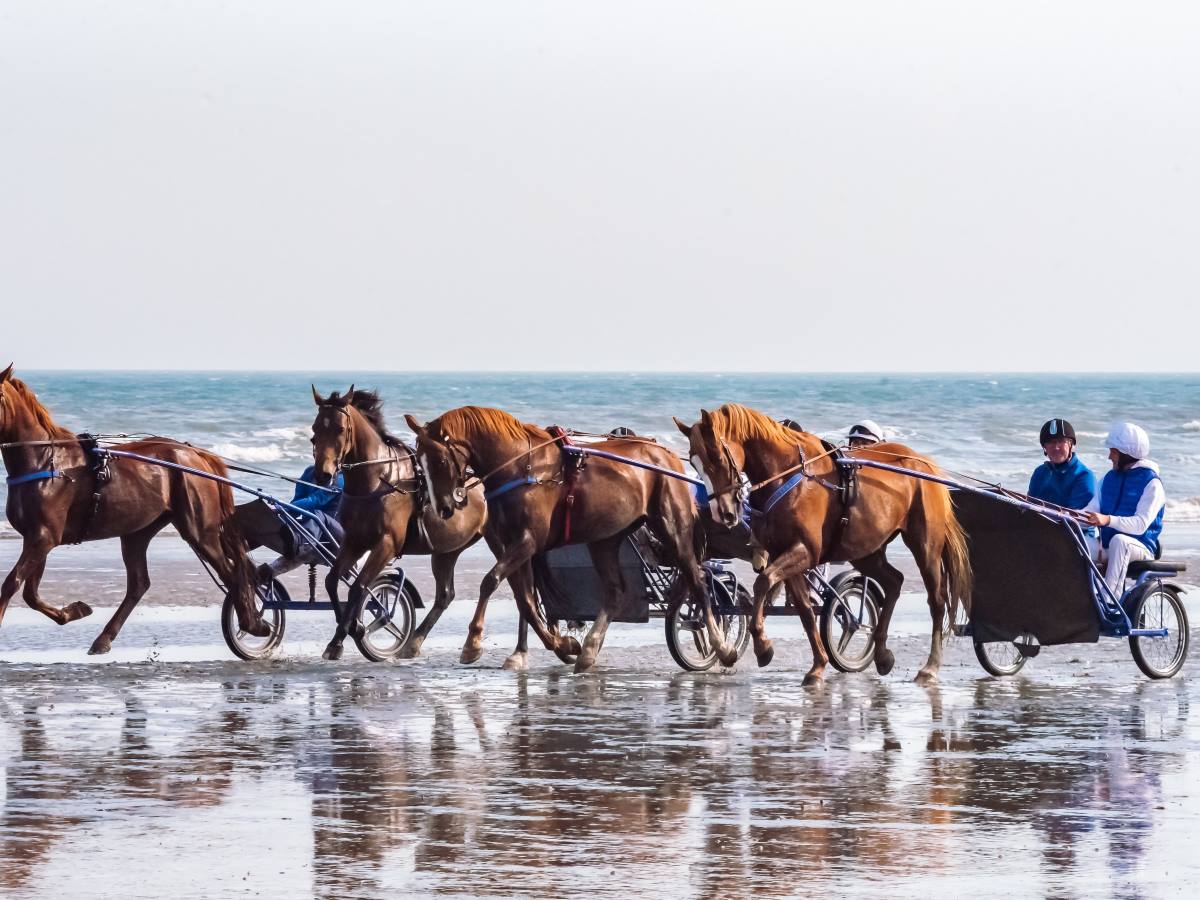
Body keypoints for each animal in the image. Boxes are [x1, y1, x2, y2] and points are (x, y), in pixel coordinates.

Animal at [0, 364, 265, 648]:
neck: (45, 461)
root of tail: (197, 455)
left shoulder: (44, 537)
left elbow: (12, 583)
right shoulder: (37, 536)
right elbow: (30, 593)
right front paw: (74, 611)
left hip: (200, 530)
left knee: (233, 572)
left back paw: (253, 623)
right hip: (137, 532)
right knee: (139, 584)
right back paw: (104, 638)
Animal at [314, 388, 492, 662]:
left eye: (340, 429)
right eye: (314, 428)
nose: (322, 474)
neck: (379, 480)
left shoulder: (386, 544)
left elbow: (359, 586)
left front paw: (346, 635)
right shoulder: (354, 541)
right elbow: (332, 581)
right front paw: (351, 629)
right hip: (446, 551)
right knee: (445, 595)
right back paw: (414, 642)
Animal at [405, 405, 729, 672]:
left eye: (440, 460)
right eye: (418, 460)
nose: (443, 508)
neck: (521, 467)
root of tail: (668, 455)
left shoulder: (527, 541)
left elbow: (491, 581)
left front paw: (472, 643)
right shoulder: (513, 545)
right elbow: (526, 602)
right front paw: (562, 646)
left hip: (672, 527)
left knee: (697, 580)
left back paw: (721, 646)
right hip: (606, 538)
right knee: (615, 591)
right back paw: (589, 649)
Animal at [676, 408, 964, 681]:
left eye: (717, 458)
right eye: (694, 463)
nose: (722, 512)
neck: (790, 474)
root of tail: (924, 463)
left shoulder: (805, 551)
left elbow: (763, 582)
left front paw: (763, 645)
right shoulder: (784, 553)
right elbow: (803, 609)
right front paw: (818, 665)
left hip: (925, 545)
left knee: (937, 600)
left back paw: (931, 666)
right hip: (866, 550)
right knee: (894, 582)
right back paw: (882, 654)